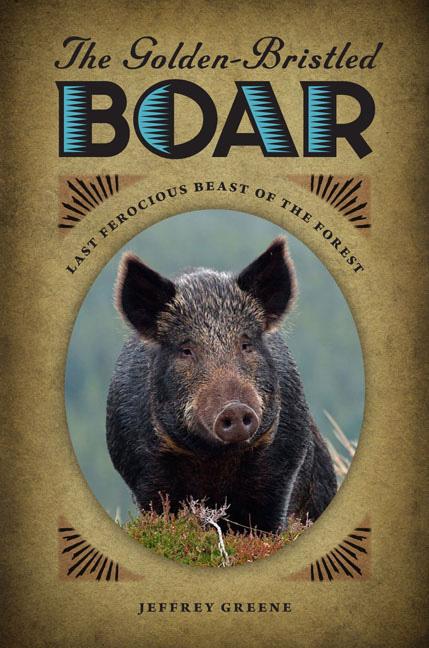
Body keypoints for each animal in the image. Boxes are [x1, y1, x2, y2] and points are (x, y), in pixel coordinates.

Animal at [106, 237, 337, 533]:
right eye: (186, 350)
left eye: (246, 344)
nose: (235, 408)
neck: (214, 458)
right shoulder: (144, 472)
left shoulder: (282, 467)